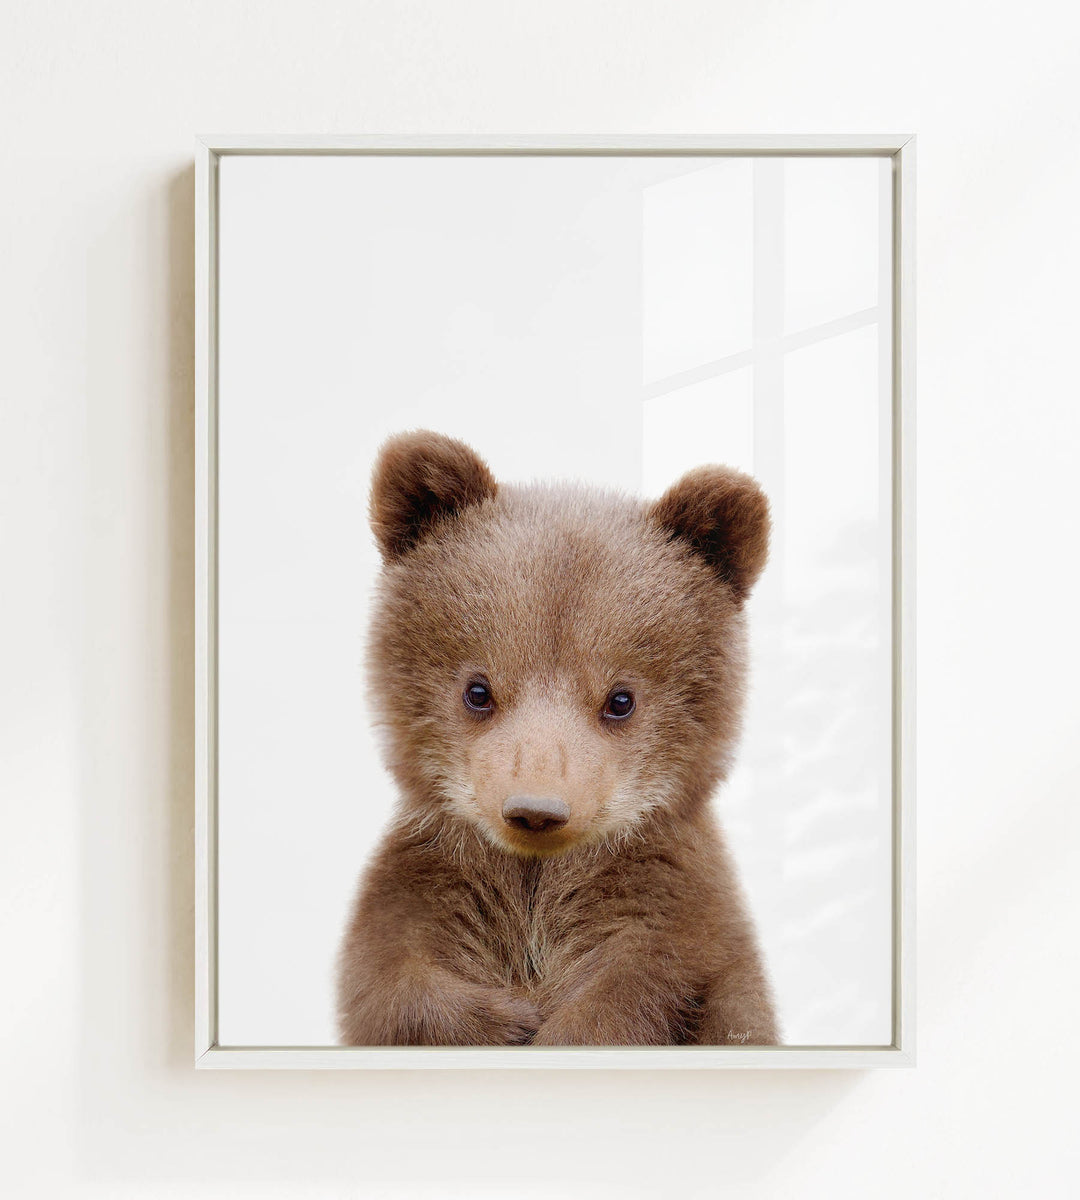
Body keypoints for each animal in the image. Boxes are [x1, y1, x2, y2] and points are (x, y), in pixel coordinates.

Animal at [336, 429, 779, 1046]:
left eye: (621, 699)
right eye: (478, 690)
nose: (536, 809)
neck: (535, 880)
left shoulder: (670, 910)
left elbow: (646, 984)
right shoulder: (431, 882)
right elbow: (392, 978)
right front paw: (507, 1021)